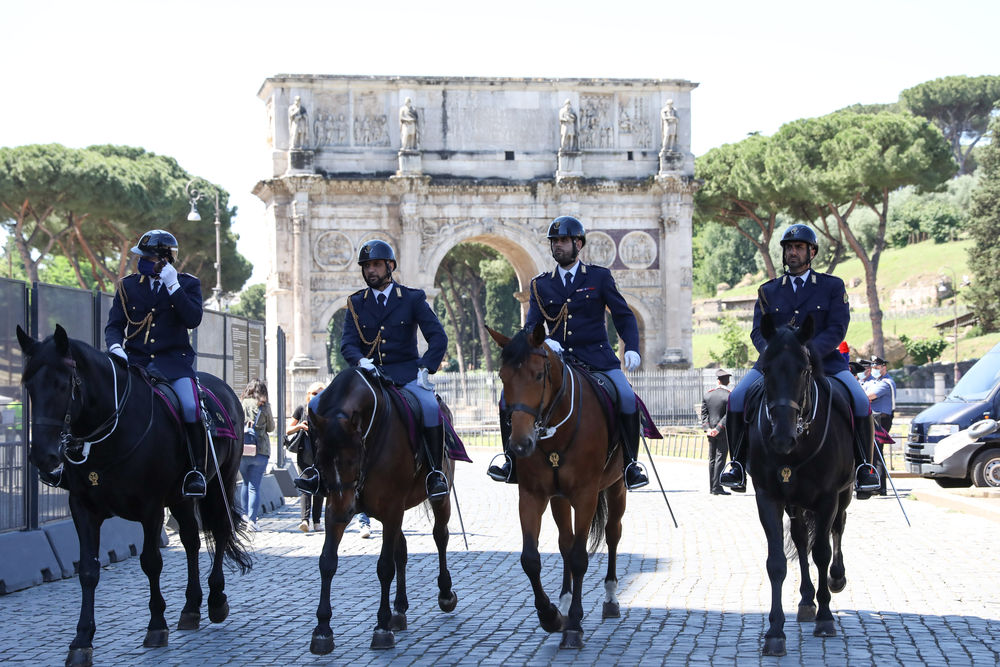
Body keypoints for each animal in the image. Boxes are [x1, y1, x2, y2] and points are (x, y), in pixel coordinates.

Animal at [16, 324, 252, 667]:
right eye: (29, 386)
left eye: (63, 385)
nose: (42, 457)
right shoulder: (82, 509)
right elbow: (88, 570)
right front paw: (81, 641)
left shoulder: (150, 508)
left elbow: (151, 561)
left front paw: (156, 626)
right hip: (181, 498)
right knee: (191, 541)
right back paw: (191, 608)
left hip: (222, 482)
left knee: (219, 530)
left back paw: (216, 599)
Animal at [306, 366, 458, 652]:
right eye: (319, 456)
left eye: (352, 459)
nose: (345, 512)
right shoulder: (334, 507)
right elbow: (327, 562)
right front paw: (322, 630)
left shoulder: (391, 508)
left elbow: (385, 566)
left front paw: (381, 627)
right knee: (403, 549)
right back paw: (399, 609)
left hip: (438, 499)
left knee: (440, 536)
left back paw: (445, 593)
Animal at [488, 326, 628, 648]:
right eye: (502, 376)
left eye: (539, 375)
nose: (520, 444)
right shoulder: (532, 495)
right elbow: (531, 558)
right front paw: (550, 615)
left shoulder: (586, 495)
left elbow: (579, 558)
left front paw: (574, 624)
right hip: (559, 500)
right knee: (566, 542)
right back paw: (563, 603)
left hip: (616, 487)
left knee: (612, 534)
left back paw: (610, 597)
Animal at [748, 314, 856, 656]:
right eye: (766, 368)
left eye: (804, 369)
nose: (782, 437)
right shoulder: (768, 497)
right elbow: (777, 563)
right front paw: (774, 632)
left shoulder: (827, 498)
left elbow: (821, 551)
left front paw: (826, 618)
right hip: (795, 504)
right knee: (798, 539)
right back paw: (807, 600)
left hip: (844, 495)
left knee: (838, 529)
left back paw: (836, 579)